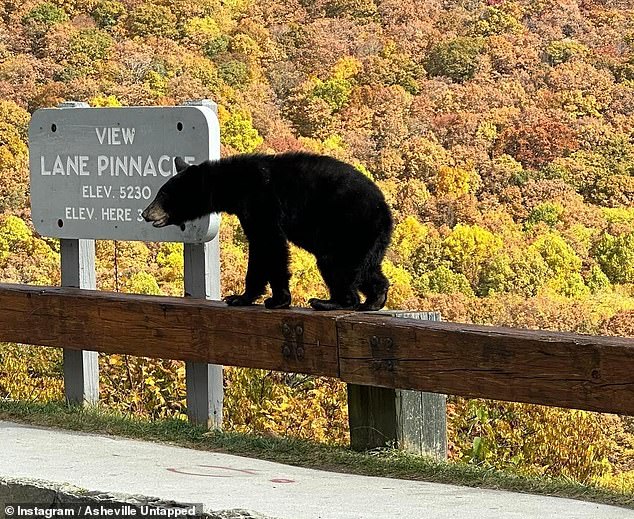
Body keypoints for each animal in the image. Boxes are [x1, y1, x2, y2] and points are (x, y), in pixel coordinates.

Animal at [141, 152, 392, 310]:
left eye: (163, 195)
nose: (145, 213)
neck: (235, 185)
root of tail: (385, 212)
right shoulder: (249, 210)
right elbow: (263, 248)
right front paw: (254, 297)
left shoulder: (261, 202)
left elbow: (270, 245)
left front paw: (268, 298)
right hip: (365, 239)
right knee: (365, 269)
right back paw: (375, 298)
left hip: (348, 227)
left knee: (336, 266)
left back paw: (331, 302)